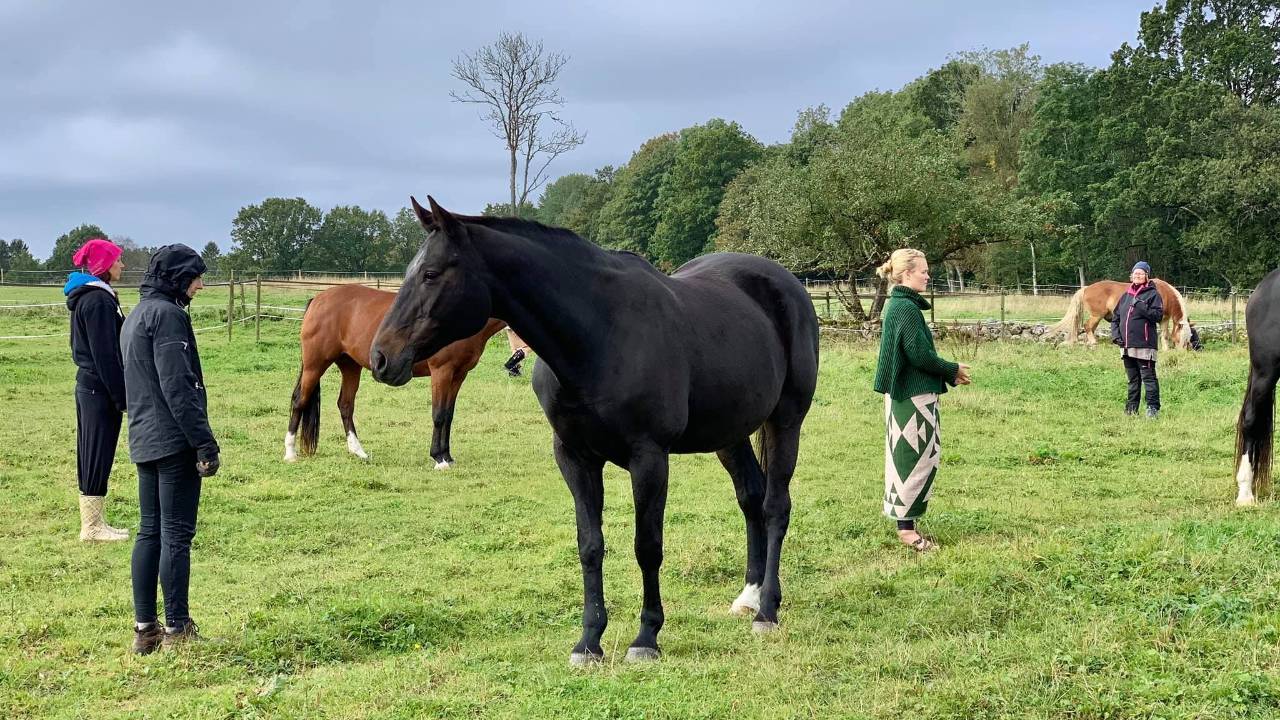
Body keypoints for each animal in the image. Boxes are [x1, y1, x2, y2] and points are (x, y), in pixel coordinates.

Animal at [285, 284, 506, 469]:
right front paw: (439, 459)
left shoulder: (459, 375)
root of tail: (318, 299)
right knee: (299, 400)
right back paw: (290, 453)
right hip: (315, 364)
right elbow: (438, 414)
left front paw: (448, 456)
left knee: (345, 405)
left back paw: (358, 451)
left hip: (350, 366)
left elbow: (449, 415)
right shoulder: (441, 372)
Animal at [370, 196, 819, 665]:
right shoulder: (575, 457)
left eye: (431, 273)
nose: (381, 357)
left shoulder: (648, 458)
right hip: (730, 434)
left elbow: (647, 546)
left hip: (786, 420)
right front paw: (589, 641)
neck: (599, 334)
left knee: (775, 506)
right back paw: (748, 596)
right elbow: (590, 545)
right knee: (750, 498)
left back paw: (767, 611)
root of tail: (786, 284)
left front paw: (646, 638)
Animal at [1052, 279, 1193, 349]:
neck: (1164, 294)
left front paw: (1165, 349)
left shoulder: (1165, 319)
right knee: (1087, 326)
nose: (1181, 353)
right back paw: (1093, 342)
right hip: (1097, 315)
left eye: (1188, 339)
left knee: (1090, 328)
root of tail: (1086, 288)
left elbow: (1164, 335)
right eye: (1179, 339)